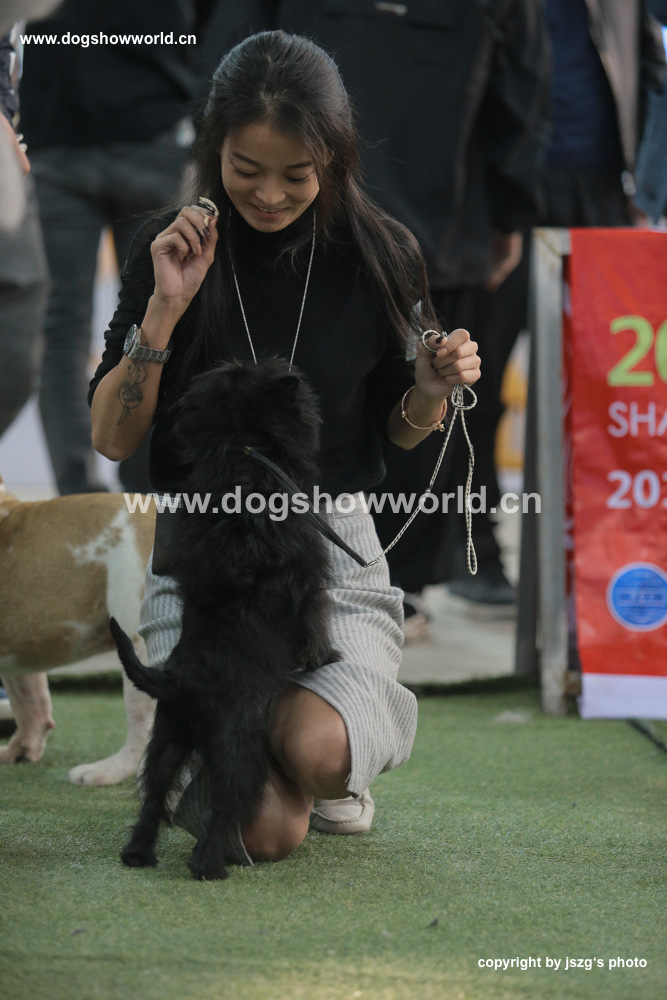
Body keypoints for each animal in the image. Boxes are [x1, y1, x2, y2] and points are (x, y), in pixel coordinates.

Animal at [110, 358, 337, 880]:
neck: (246, 451)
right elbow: (314, 620)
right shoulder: (308, 574)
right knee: (225, 807)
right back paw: (209, 866)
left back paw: (138, 854)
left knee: (153, 797)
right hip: (239, 749)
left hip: (168, 738)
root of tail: (180, 682)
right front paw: (324, 656)